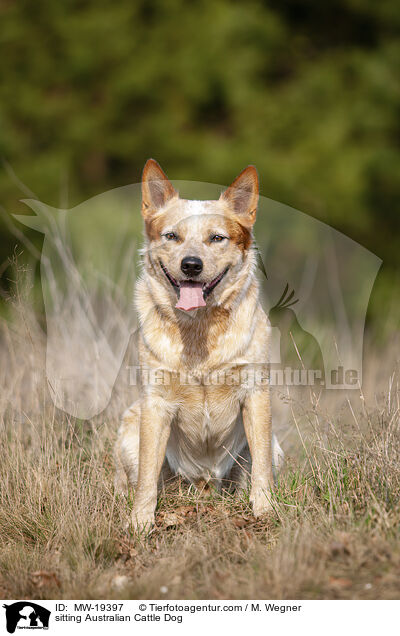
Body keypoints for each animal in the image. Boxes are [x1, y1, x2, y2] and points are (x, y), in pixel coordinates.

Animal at [115, 159, 284, 532]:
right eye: (171, 236)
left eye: (217, 238)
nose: (191, 264)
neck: (198, 330)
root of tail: (204, 485)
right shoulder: (156, 403)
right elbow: (146, 477)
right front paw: (140, 522)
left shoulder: (256, 393)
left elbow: (262, 468)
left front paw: (265, 510)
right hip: (131, 427)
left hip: (273, 446)